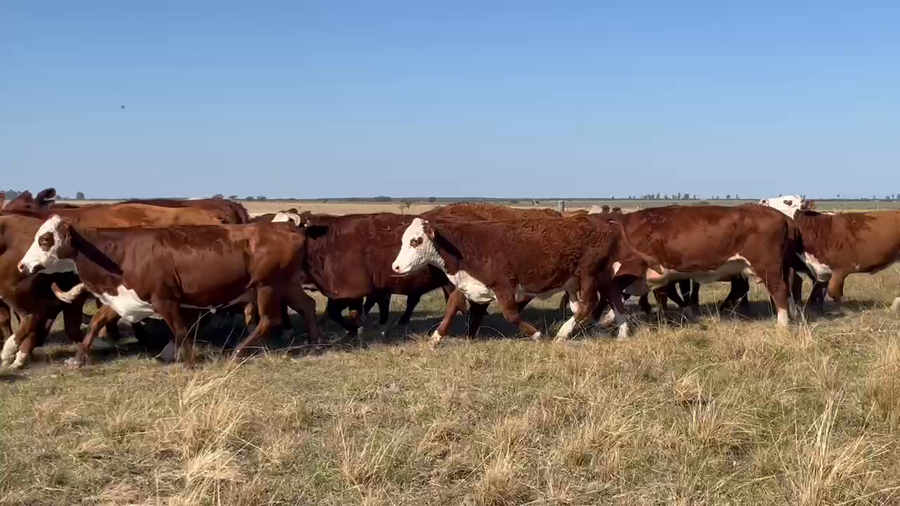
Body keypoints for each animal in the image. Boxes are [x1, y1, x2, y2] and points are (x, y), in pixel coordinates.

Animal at [16, 217, 322, 367]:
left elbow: (181, 329)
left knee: (269, 320)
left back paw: (238, 351)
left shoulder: (165, 299)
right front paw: (78, 359)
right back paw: (314, 345)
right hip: (286, 284)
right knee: (307, 306)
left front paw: (188, 362)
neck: (119, 252)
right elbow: (96, 323)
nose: (22, 265)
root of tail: (288, 228)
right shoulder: (123, 297)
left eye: (45, 239)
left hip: (267, 286)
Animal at [391, 214, 647, 345]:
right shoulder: (469, 283)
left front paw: (536, 334)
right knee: (613, 296)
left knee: (589, 304)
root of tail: (604, 222)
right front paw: (436, 337)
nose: (396, 266)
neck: (468, 245)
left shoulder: (503, 285)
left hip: (589, 274)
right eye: (404, 240)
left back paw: (563, 333)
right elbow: (452, 305)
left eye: (416, 241)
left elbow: (511, 314)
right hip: (596, 276)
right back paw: (622, 332)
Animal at [606, 204, 805, 327]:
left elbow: (617, 294)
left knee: (779, 291)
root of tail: (781, 215)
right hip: (781, 266)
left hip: (767, 267)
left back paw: (781, 325)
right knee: (787, 289)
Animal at [760, 194, 900, 313]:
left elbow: (833, 292)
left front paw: (844, 310)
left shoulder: (841, 269)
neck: (816, 229)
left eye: (787, 201)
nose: (763, 201)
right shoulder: (820, 270)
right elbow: (816, 293)